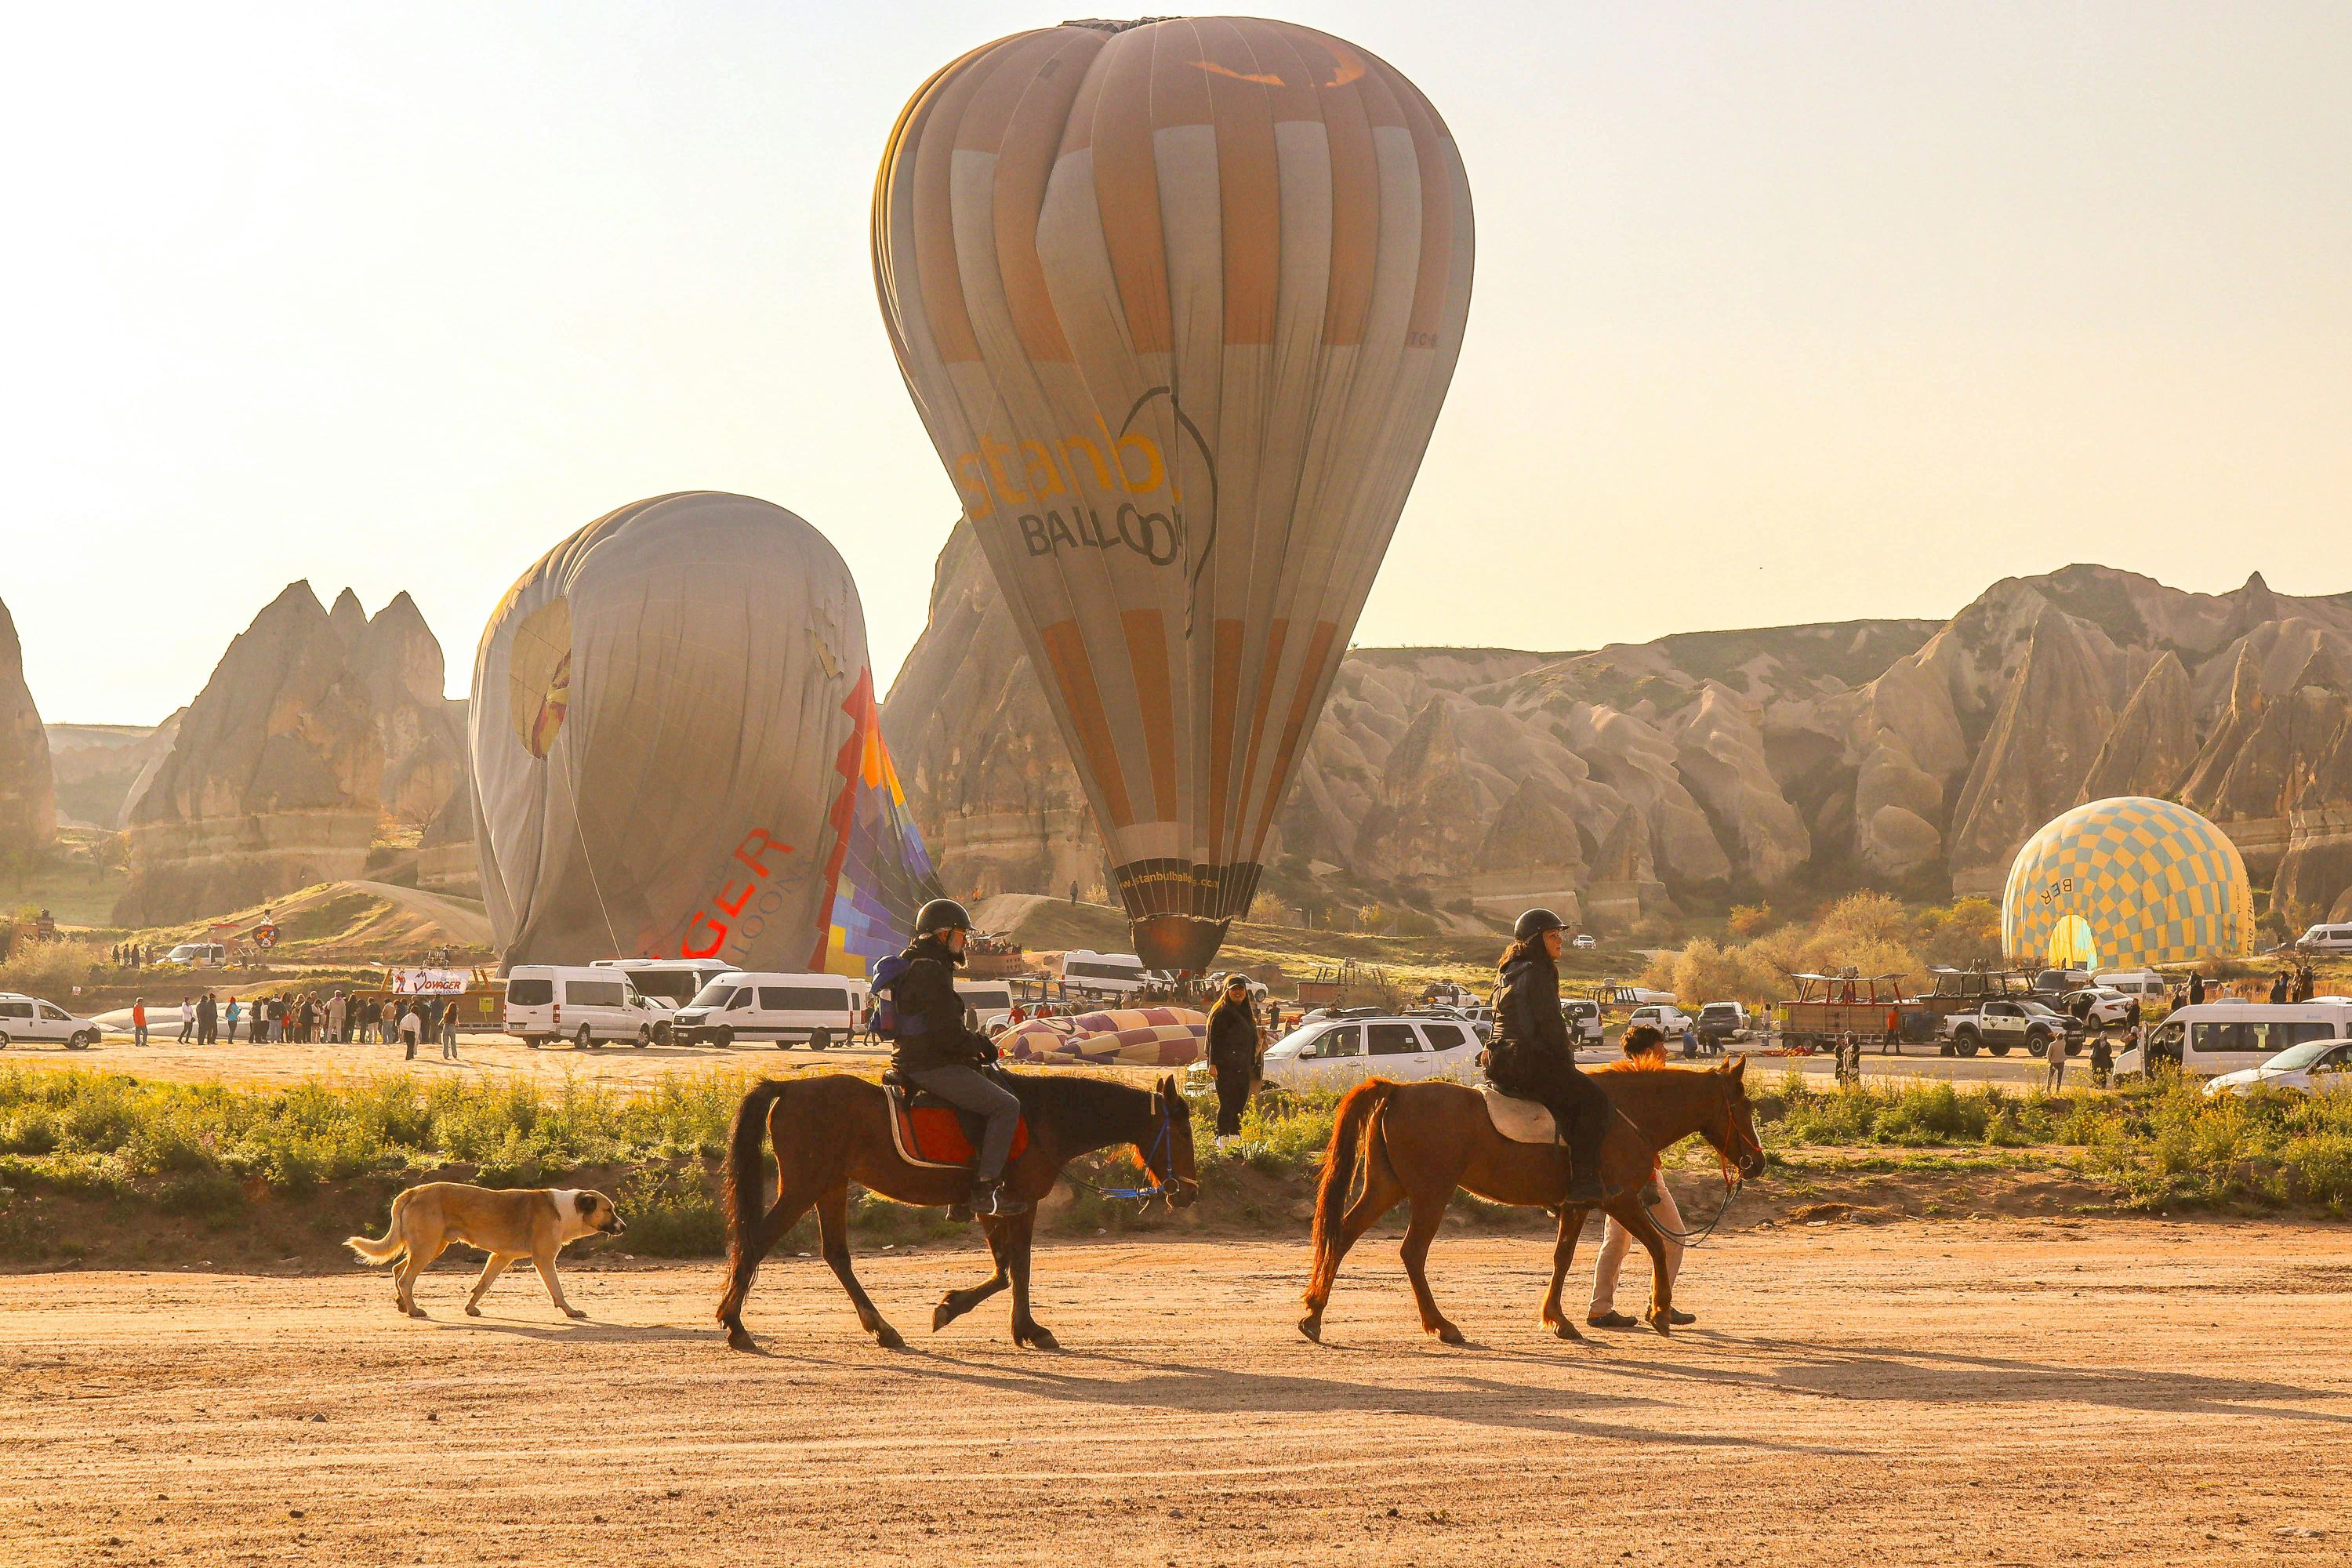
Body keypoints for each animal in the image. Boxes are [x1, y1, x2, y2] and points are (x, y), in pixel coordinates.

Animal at [717, 1070, 1198, 1351]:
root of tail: (789, 1087)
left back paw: (881, 1328)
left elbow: (1005, 1270)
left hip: (830, 1186)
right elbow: (1018, 1269)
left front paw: (970, 1311)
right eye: (1182, 1133)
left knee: (835, 1254)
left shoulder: (992, 1208)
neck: (1043, 1116)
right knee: (756, 1243)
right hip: (804, 1187)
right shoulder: (1020, 1204)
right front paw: (1025, 1328)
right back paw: (735, 1325)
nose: (1189, 1194)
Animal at [1298, 1056, 1766, 1345]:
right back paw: (1441, 1325)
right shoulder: (1622, 1201)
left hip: (1385, 1188)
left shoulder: (1576, 1206)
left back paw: (1315, 1315)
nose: (1757, 1162)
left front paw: (1558, 1319)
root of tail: (1397, 1090)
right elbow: (1654, 1246)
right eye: (1744, 1105)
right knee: (1412, 1252)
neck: (1623, 1114)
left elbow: (1563, 1259)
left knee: (1342, 1235)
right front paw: (1661, 1311)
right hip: (1432, 1194)